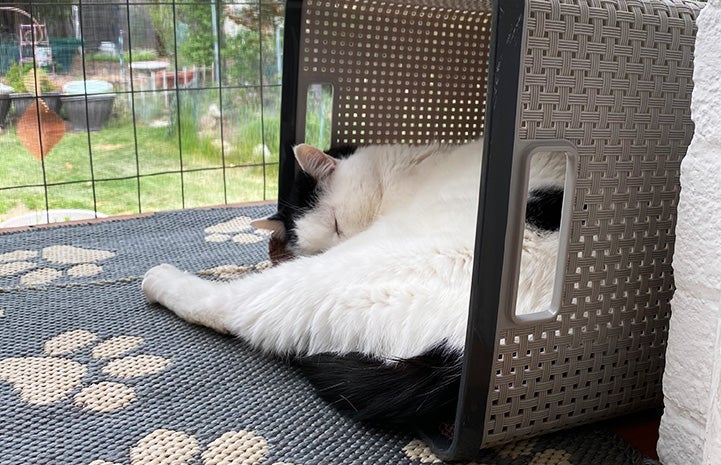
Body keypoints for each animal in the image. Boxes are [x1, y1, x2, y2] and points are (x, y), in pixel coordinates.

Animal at [142, 140, 568, 426]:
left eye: (334, 223)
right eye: (313, 244)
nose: (333, 246)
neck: (402, 171)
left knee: (226, 308)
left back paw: (156, 277)